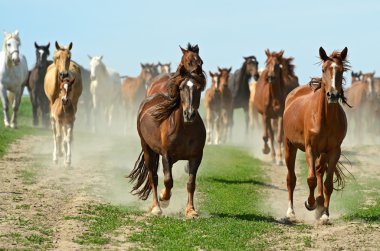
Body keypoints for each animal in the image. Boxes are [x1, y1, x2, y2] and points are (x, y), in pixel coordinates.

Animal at [284, 47, 348, 224]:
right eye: (323, 69)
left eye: (342, 70)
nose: (333, 95)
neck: (324, 118)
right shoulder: (310, 149)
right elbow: (311, 179)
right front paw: (310, 203)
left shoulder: (333, 151)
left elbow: (327, 184)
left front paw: (324, 213)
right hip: (289, 145)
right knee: (291, 179)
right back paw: (291, 212)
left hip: (323, 153)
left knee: (320, 171)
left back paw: (320, 206)